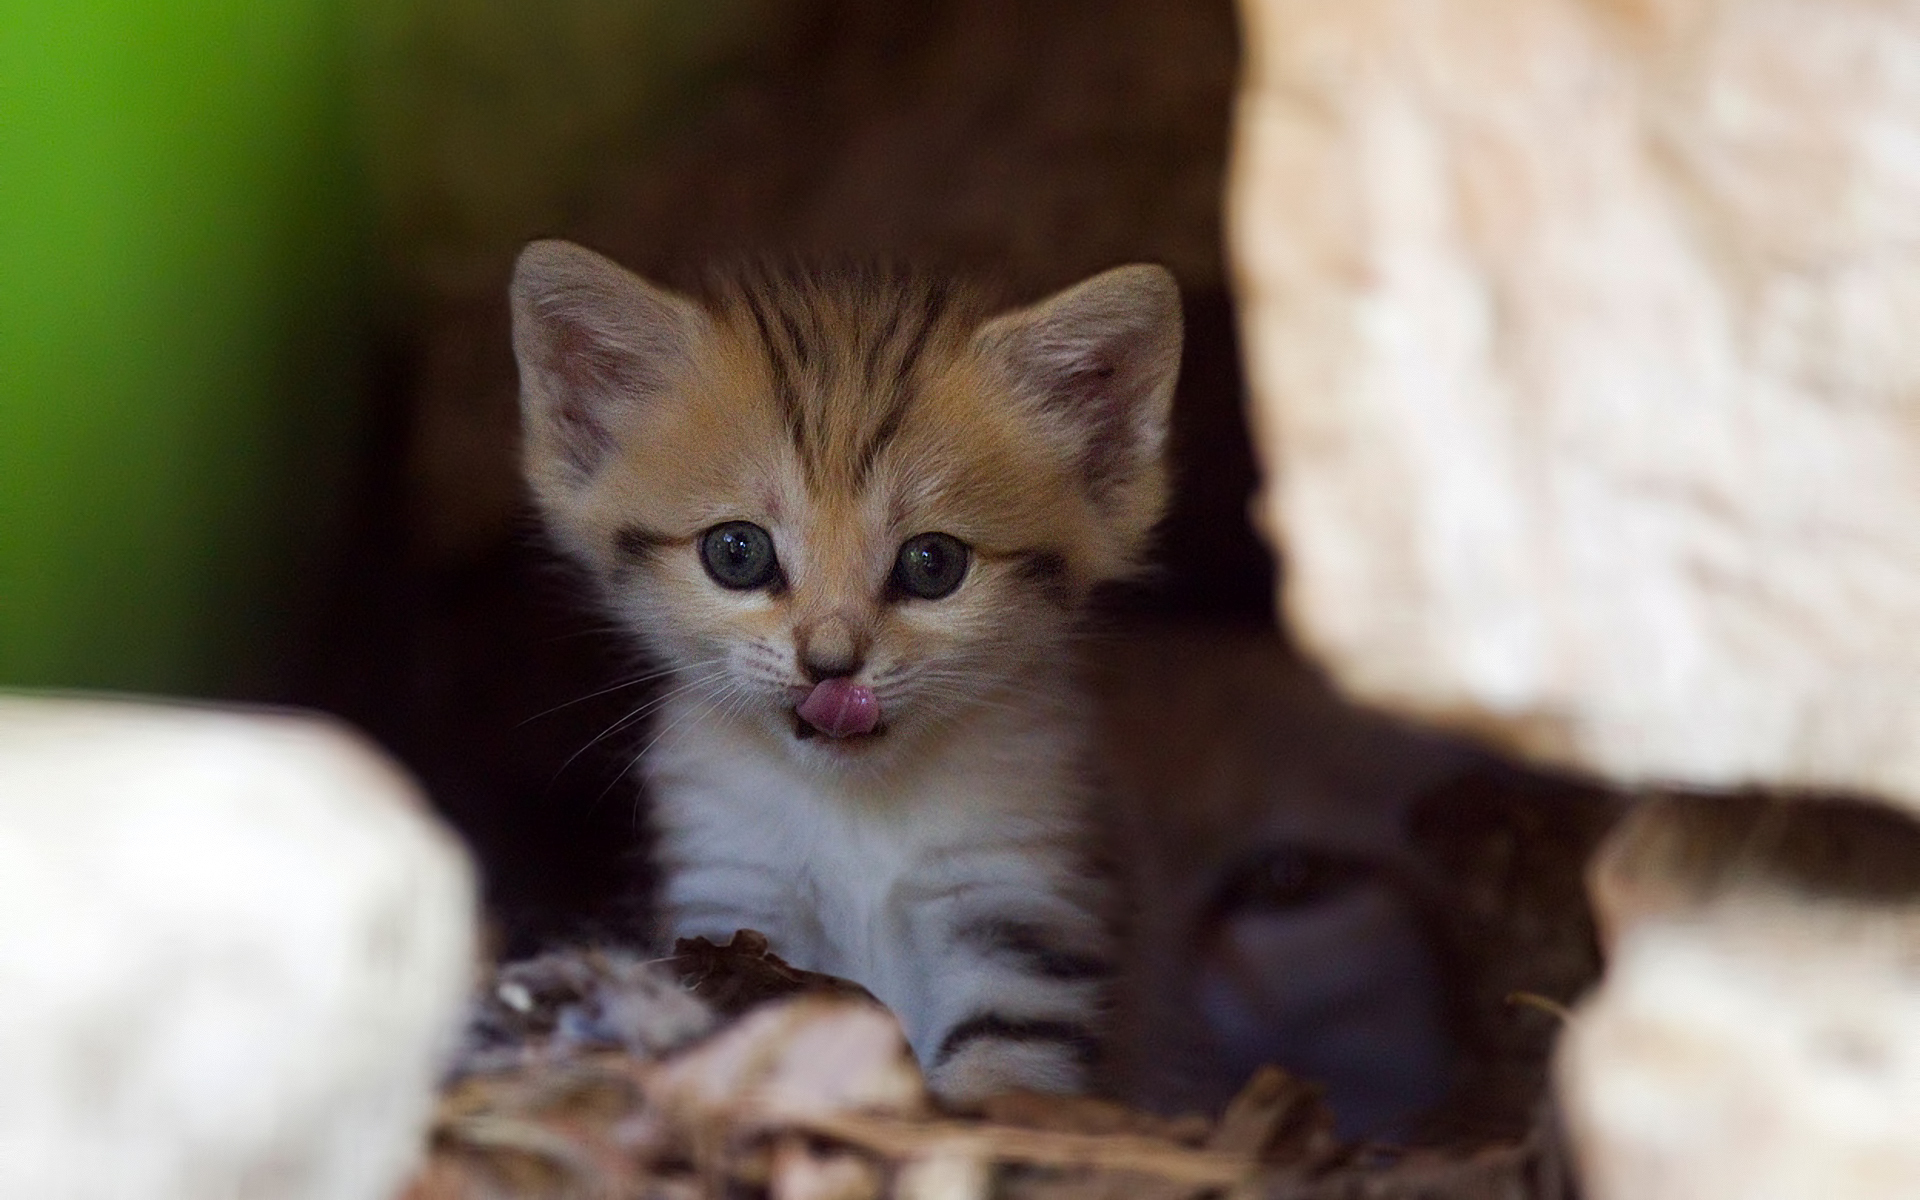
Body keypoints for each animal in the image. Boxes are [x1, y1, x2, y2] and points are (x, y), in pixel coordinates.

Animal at [510, 239, 1175, 1098]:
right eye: (737, 552)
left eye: (933, 563)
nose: (831, 664)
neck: (855, 806)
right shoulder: (732, 896)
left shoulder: (1016, 901)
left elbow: (1007, 1066)